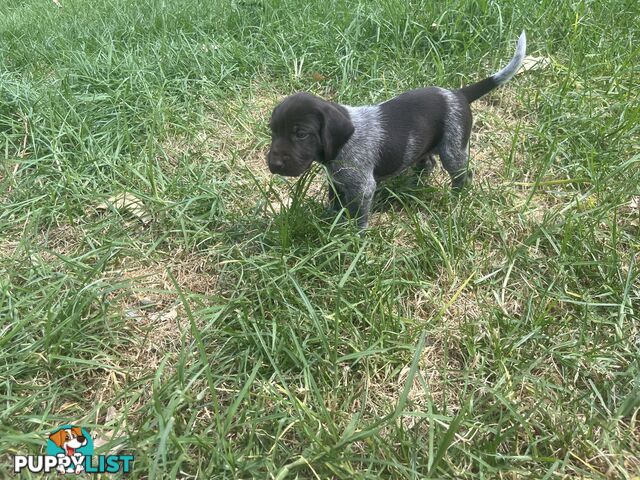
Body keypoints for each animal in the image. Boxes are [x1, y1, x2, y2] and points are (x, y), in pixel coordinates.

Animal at [264, 31, 524, 228]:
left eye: (301, 134)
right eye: (273, 132)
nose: (273, 164)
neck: (342, 146)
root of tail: (457, 94)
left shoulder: (362, 187)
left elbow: (358, 216)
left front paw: (352, 237)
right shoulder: (337, 181)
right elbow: (335, 203)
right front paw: (330, 221)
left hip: (454, 150)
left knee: (462, 176)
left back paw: (455, 200)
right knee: (427, 163)